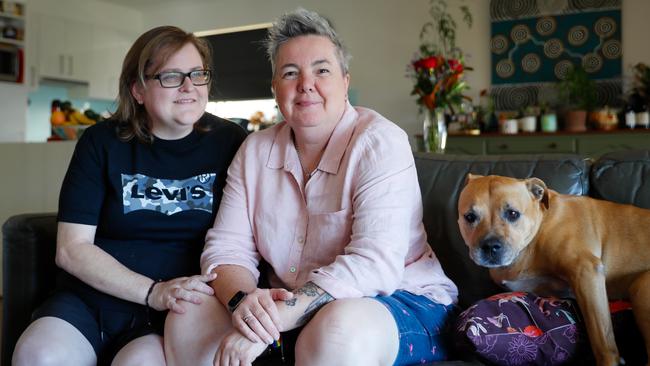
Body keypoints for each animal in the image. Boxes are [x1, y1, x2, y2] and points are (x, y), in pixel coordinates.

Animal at [456, 174, 648, 366]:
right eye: (470, 217)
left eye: (513, 214)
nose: (490, 246)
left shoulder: (585, 271)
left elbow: (601, 336)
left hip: (640, 285)